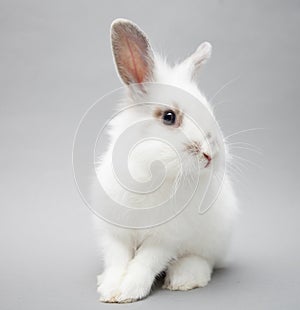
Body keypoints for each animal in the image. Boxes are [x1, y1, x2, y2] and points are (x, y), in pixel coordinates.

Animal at [92, 18, 238, 302]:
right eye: (169, 117)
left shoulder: (166, 237)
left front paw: (129, 290)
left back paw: (185, 278)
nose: (210, 154)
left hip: (212, 240)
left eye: (210, 112)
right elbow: (118, 259)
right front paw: (111, 290)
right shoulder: (115, 232)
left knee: (204, 260)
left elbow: (146, 261)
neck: (153, 175)